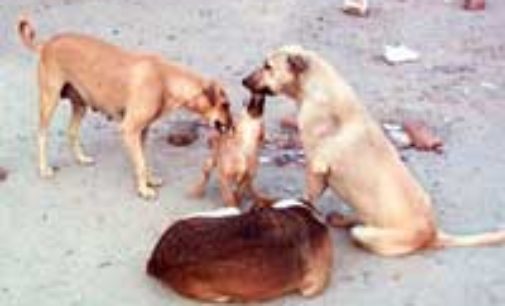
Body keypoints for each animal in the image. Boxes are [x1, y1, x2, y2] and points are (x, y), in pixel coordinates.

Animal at [16, 17, 233, 198]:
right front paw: (143, 189)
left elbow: (144, 160)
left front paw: (149, 181)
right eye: (225, 104)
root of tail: (47, 43)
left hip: (80, 105)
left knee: (71, 132)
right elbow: (141, 164)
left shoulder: (142, 132)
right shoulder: (130, 130)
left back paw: (81, 158)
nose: (232, 126)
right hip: (49, 100)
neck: (165, 79)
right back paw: (44, 169)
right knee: (41, 134)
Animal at [241, 44, 504, 256]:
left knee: (360, 231)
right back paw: (341, 218)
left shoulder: (315, 167)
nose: (243, 81)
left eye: (267, 66)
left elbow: (307, 197)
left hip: (365, 233)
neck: (317, 86)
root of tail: (433, 234)